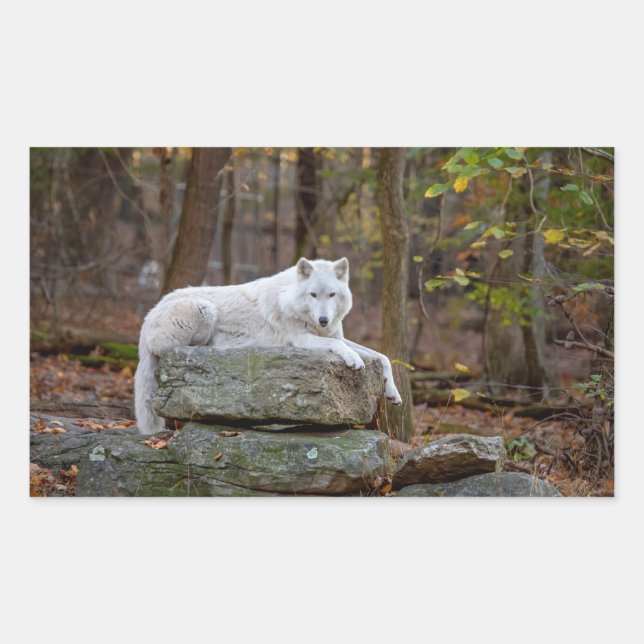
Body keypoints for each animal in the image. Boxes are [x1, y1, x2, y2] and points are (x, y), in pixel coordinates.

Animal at [134, 257, 403, 434]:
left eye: (332, 295)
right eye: (313, 295)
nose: (323, 320)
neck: (290, 298)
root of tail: (148, 315)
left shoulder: (337, 335)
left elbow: (382, 357)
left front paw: (393, 392)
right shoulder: (302, 339)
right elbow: (342, 348)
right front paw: (354, 360)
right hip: (205, 310)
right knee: (179, 350)